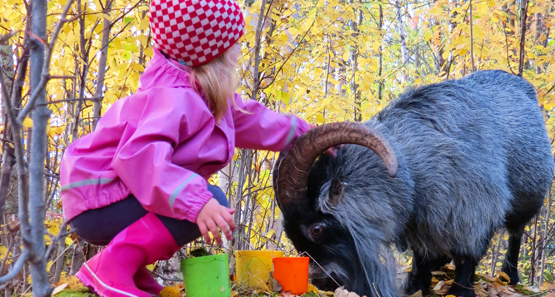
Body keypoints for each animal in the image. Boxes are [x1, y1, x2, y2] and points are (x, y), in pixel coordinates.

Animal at [274, 70, 555, 294]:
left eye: (317, 228)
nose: (322, 282)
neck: (413, 169)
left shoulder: (474, 212)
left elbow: (467, 257)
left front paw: (459, 291)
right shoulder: (424, 220)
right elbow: (421, 254)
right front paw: (416, 285)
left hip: (527, 200)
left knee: (515, 235)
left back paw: (509, 275)